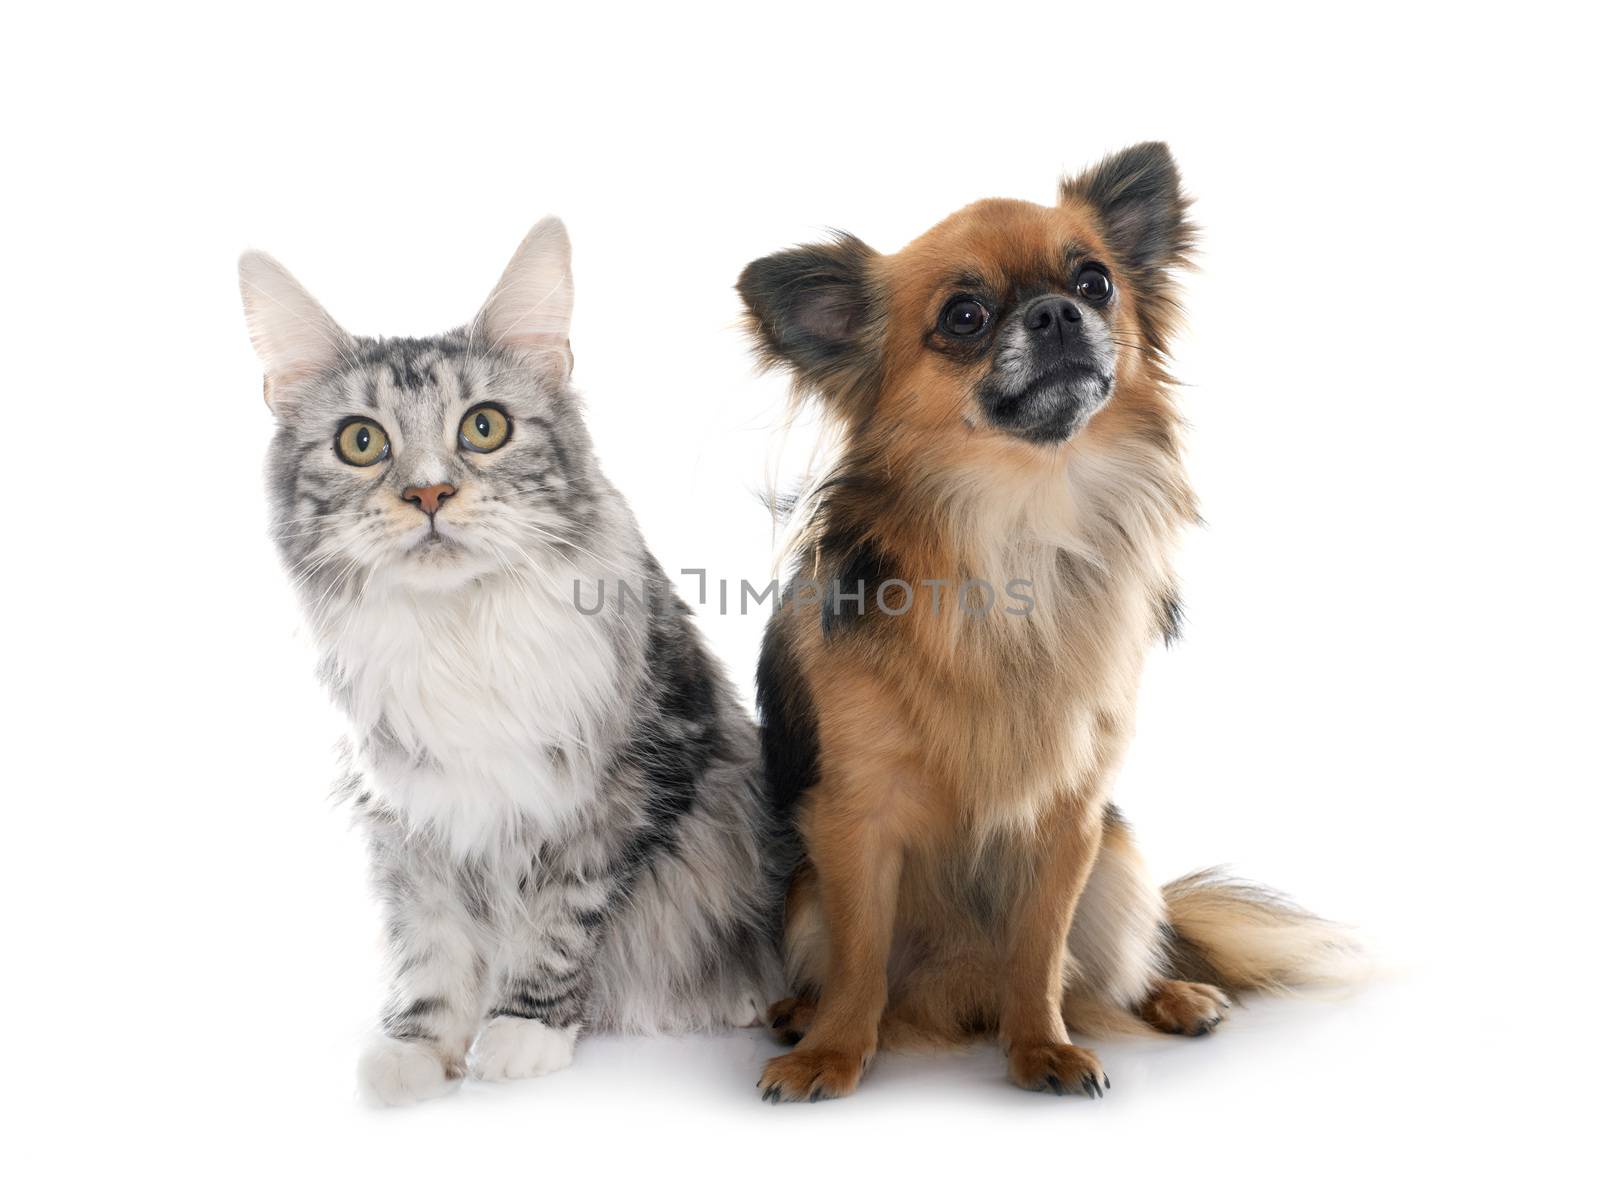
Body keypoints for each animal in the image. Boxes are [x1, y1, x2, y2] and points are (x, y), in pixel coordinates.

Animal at [236, 217, 780, 1106]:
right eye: (361, 441)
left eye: (484, 427)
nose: (427, 493)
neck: (458, 630)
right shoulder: (407, 812)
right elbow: (427, 942)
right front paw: (419, 1045)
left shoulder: (622, 787)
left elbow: (557, 924)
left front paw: (521, 1031)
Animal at [732, 140, 1350, 1100]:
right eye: (965, 315)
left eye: (1096, 281)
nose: (1059, 312)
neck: (1021, 518)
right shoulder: (855, 818)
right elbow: (862, 956)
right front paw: (831, 1052)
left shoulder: (1073, 815)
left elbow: (1039, 952)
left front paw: (1042, 1047)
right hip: (802, 895)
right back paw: (801, 1012)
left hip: (1120, 864)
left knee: (1113, 969)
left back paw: (1176, 996)